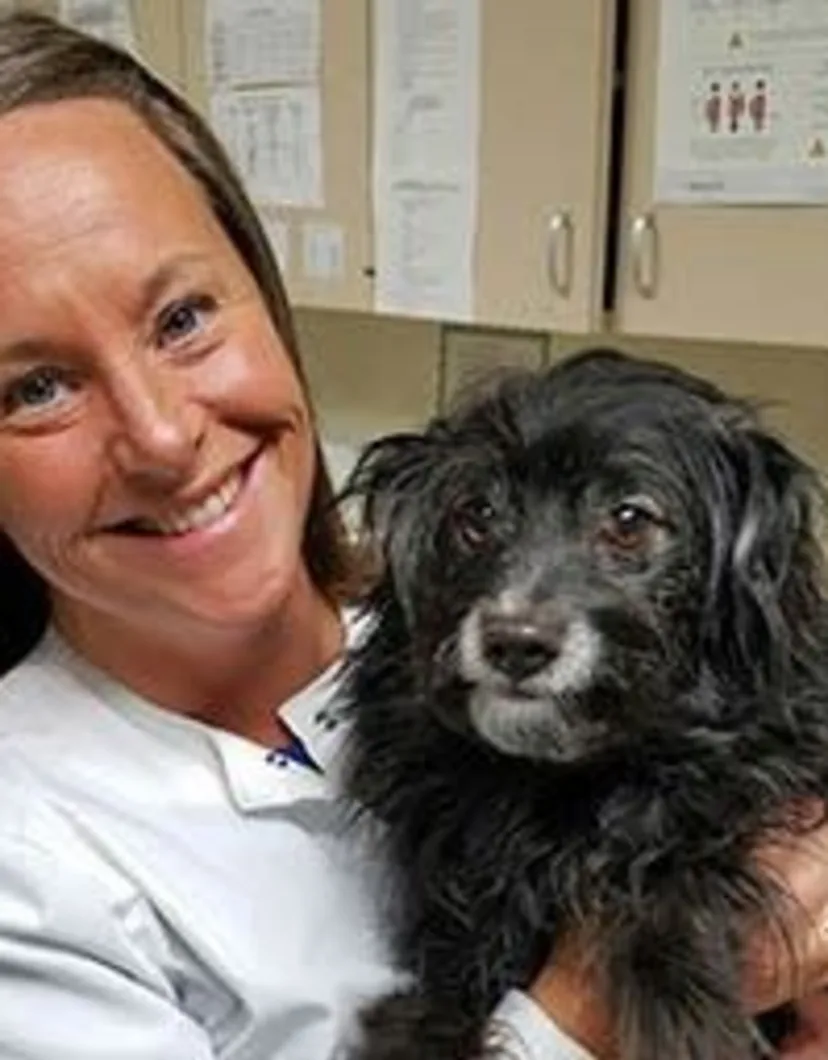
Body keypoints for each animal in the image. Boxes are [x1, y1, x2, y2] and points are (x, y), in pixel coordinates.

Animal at [339, 349, 826, 1060]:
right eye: (476, 514)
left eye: (629, 519)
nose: (514, 643)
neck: (552, 785)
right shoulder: (458, 935)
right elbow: (428, 1012)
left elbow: (662, 865)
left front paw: (686, 1011)